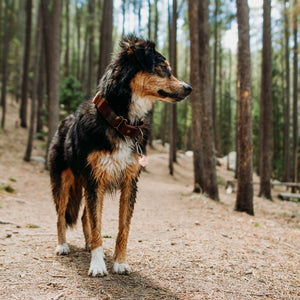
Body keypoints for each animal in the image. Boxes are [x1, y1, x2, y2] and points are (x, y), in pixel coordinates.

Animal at [47, 35, 192, 276]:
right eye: (163, 68)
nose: (189, 88)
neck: (120, 121)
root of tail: (63, 121)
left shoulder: (129, 182)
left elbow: (123, 227)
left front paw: (119, 262)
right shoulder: (95, 180)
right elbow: (97, 225)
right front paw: (97, 265)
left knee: (85, 216)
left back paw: (87, 245)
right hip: (63, 181)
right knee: (60, 215)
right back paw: (62, 246)